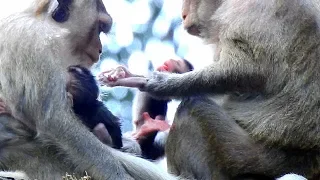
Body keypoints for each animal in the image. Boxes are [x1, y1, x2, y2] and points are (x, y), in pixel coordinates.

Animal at [0, 0, 175, 179]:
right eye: (99, 26)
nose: (100, 49)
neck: (40, 19)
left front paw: (129, 144)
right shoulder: (35, 43)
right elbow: (54, 120)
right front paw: (118, 174)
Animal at [101, 0, 320, 180]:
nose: (183, 15)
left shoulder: (253, 8)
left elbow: (248, 69)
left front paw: (158, 83)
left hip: (244, 156)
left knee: (193, 109)